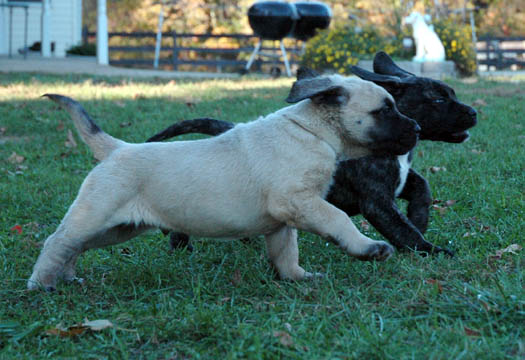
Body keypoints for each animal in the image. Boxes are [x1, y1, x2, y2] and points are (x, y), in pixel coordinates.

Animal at [147, 52, 474, 256]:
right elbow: (403, 232)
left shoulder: (400, 180)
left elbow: (422, 187)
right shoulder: (377, 201)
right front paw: (431, 250)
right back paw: (181, 246)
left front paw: (419, 217)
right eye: (438, 100)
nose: (473, 112)